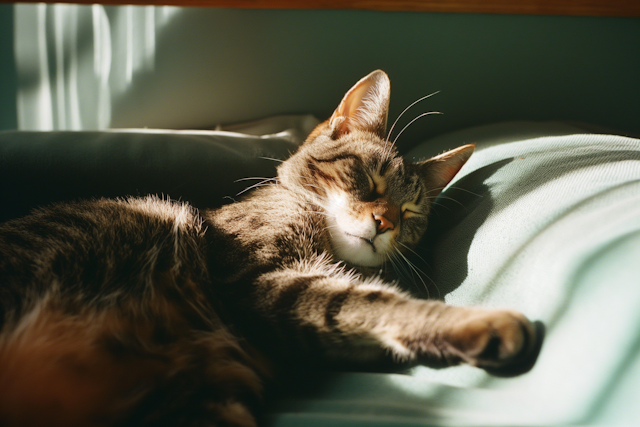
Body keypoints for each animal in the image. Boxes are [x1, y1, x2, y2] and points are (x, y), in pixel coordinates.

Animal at [0, 71, 536, 427]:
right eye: (368, 178)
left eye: (411, 215)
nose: (384, 222)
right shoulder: (262, 281)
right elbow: (376, 303)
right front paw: (481, 322)